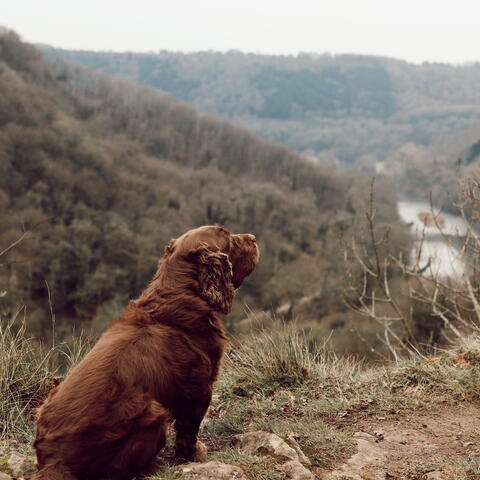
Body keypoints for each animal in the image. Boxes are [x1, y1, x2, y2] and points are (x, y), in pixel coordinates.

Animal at [33, 226, 258, 480]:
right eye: (228, 238)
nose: (253, 238)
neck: (179, 295)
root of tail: (55, 461)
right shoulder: (198, 390)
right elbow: (188, 432)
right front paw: (194, 454)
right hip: (153, 413)